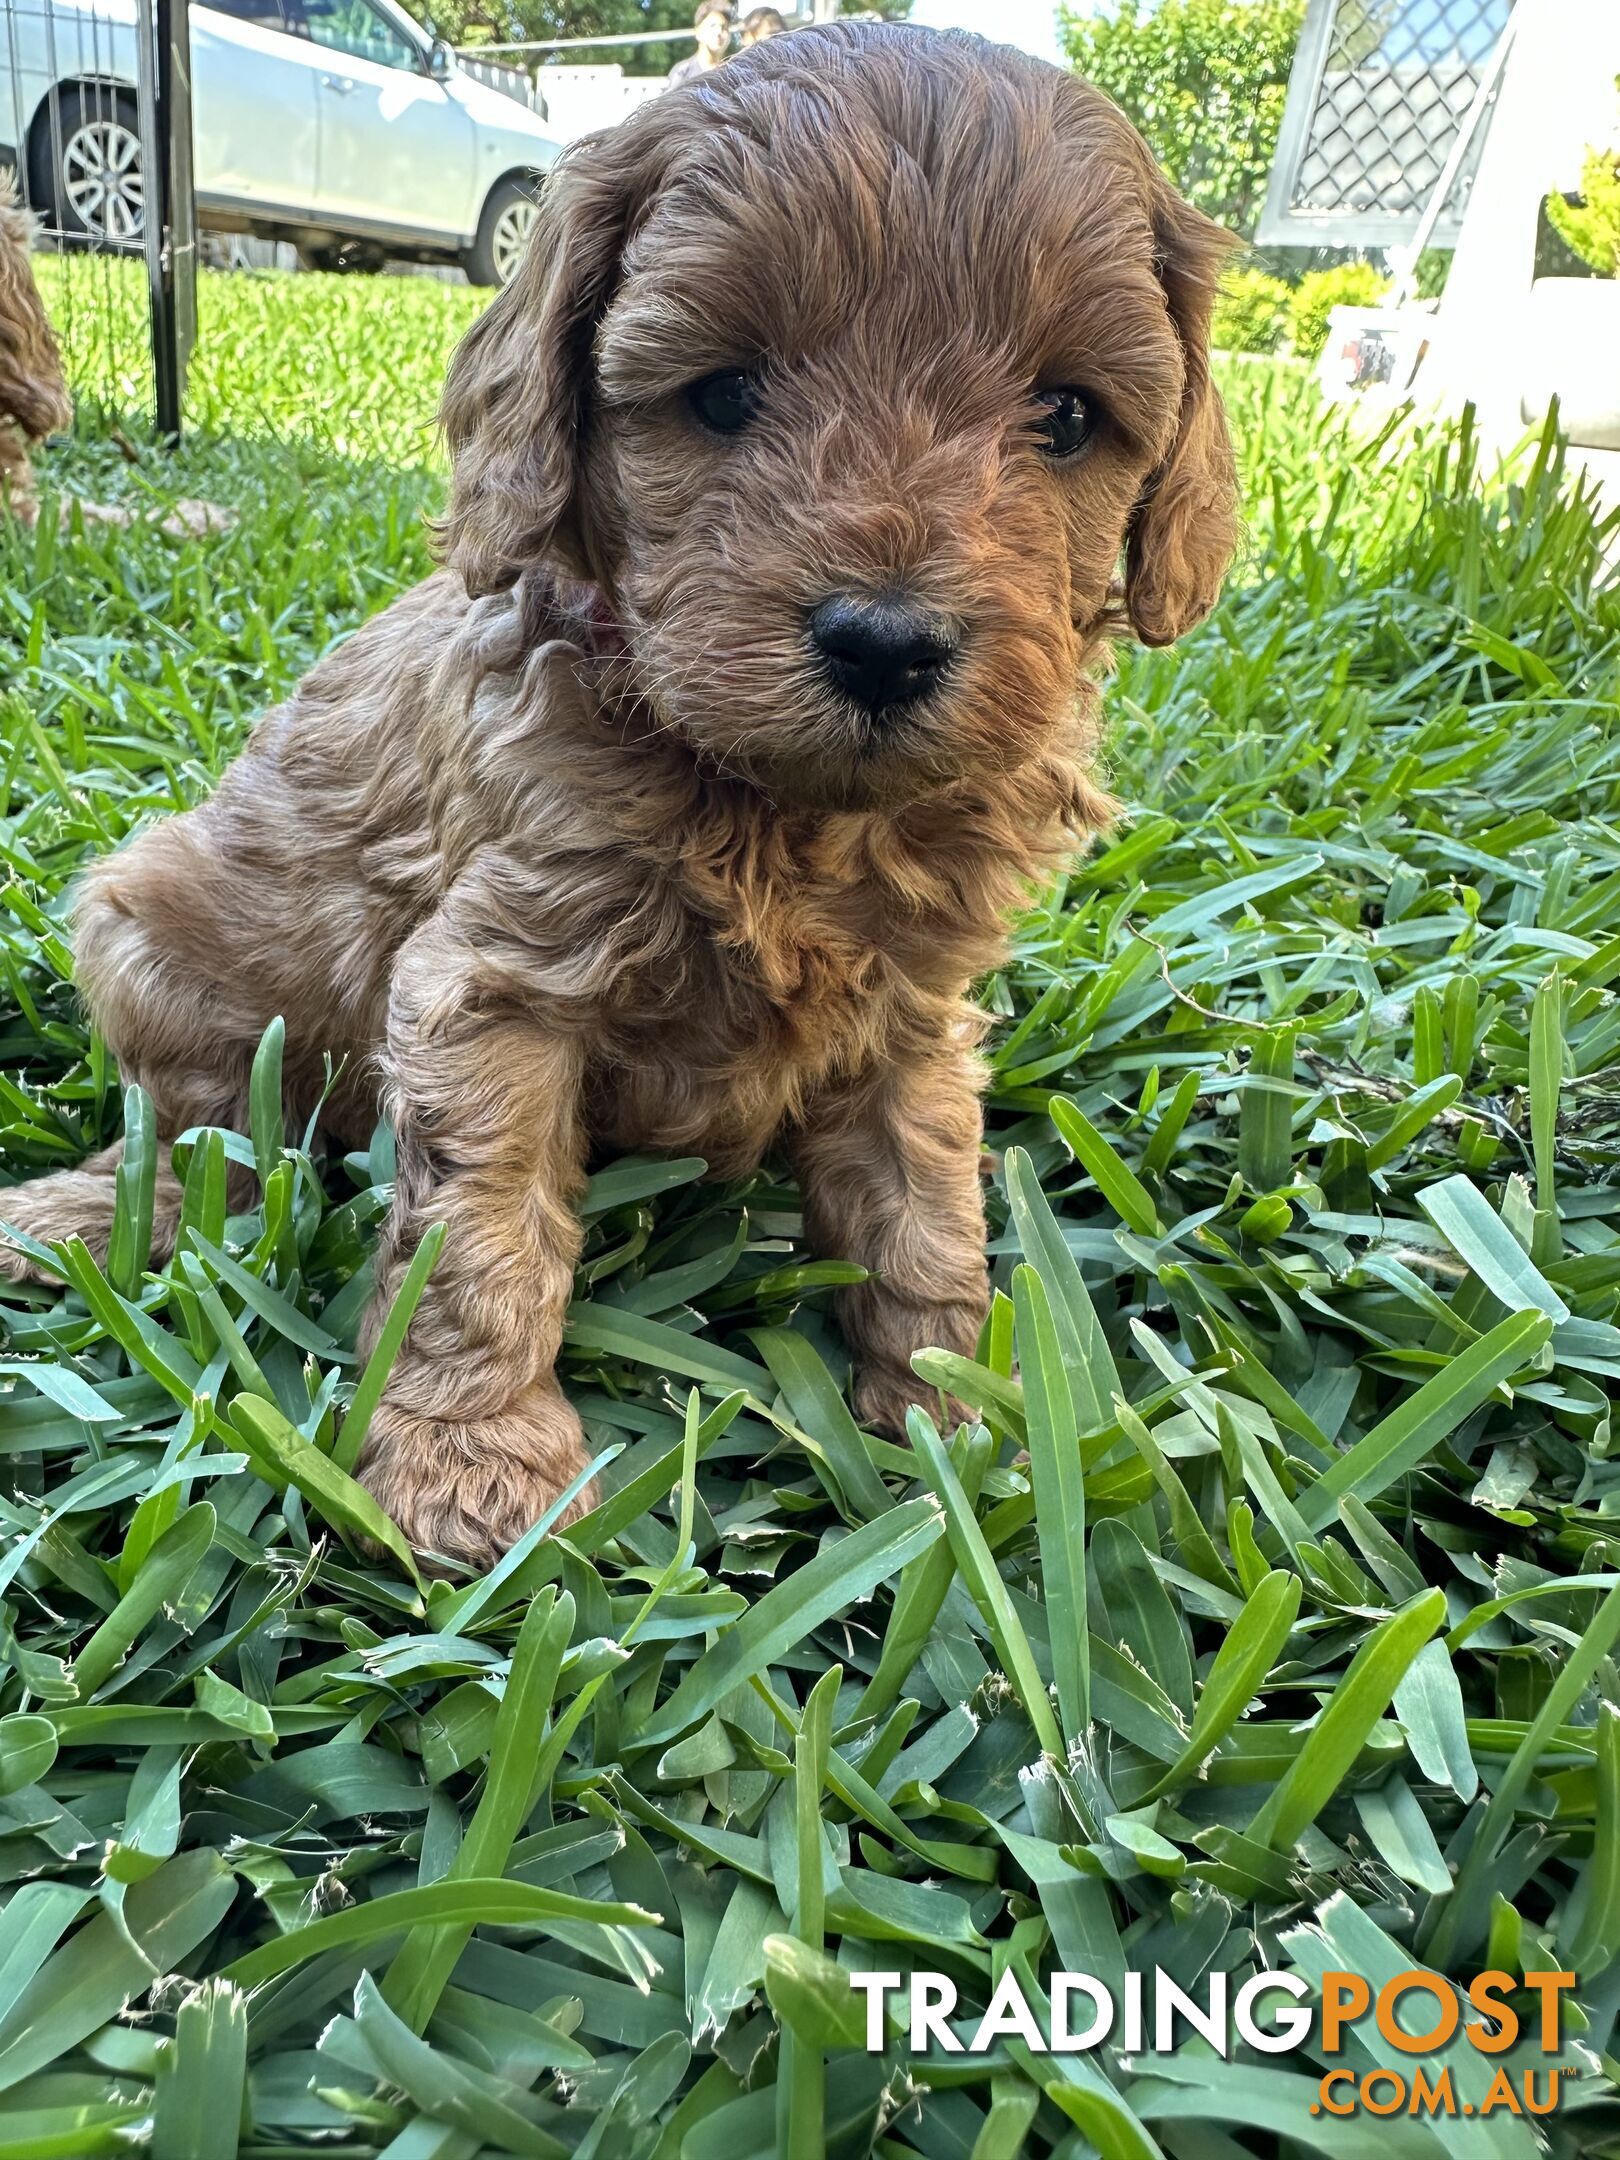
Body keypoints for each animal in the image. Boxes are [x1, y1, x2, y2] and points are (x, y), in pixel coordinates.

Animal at [3, 21, 1244, 1572]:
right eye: (722, 394)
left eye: (1067, 418)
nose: (885, 642)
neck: (782, 808)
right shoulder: (492, 983)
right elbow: (478, 1233)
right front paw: (478, 1469)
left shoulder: (913, 1010)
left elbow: (924, 1197)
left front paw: (966, 1421)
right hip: (147, 919)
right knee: (206, 1125)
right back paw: (111, 1214)